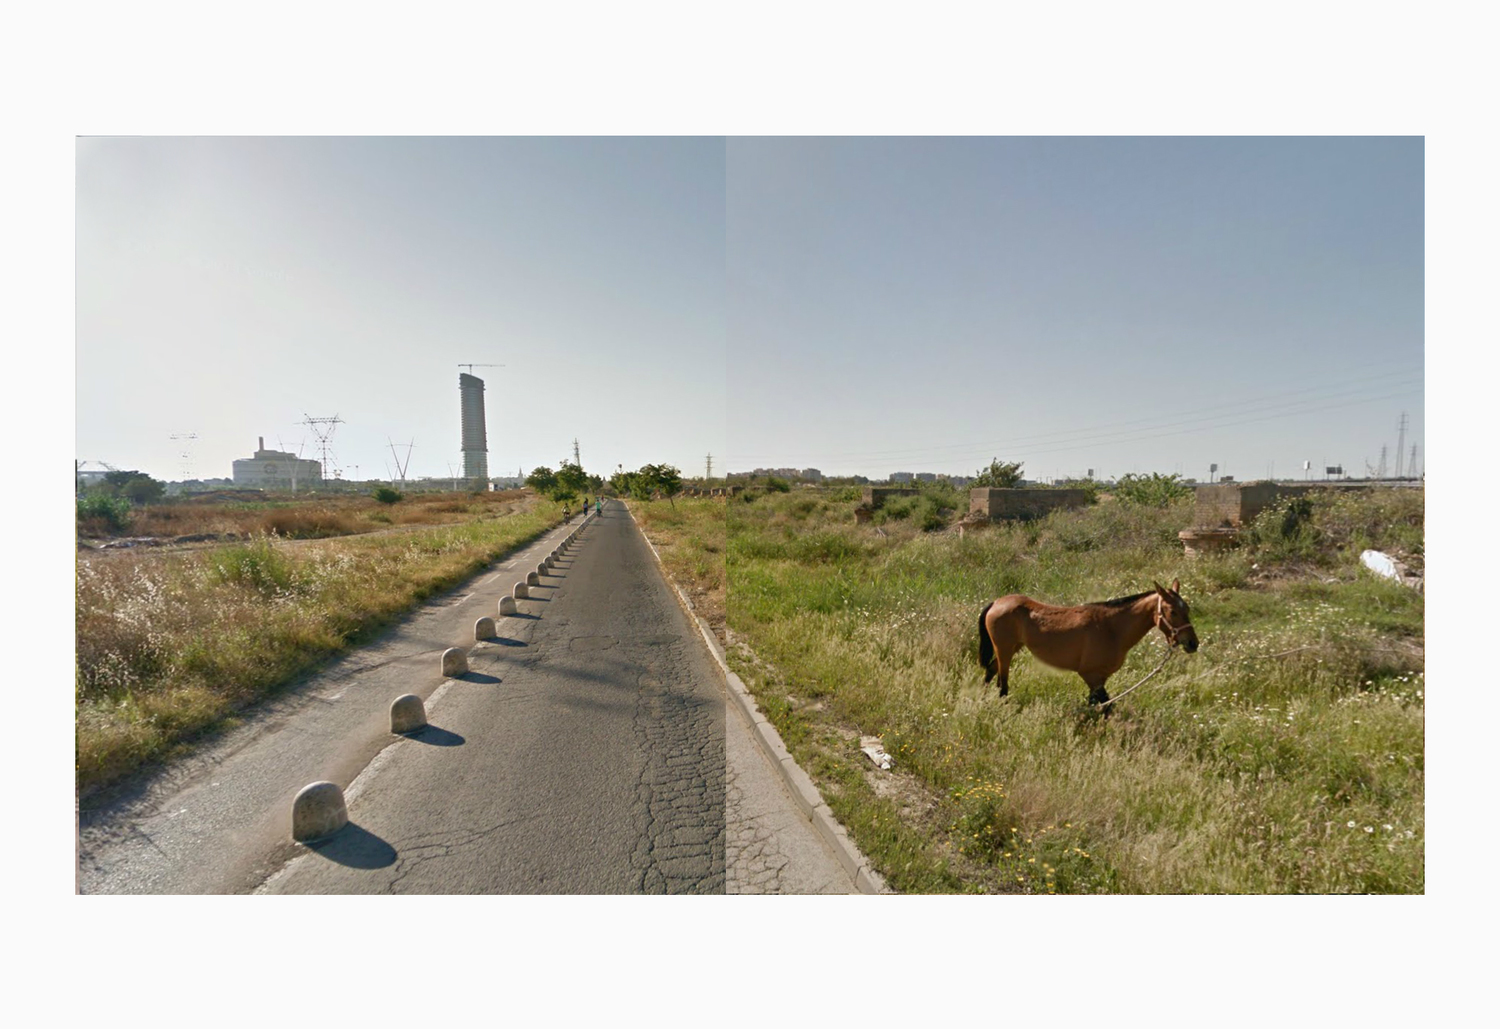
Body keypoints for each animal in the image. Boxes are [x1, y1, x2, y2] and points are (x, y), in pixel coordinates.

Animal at [977, 580, 1198, 708]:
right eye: (1172, 611)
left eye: (1187, 608)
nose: (1193, 643)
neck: (1111, 628)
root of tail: (997, 602)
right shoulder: (1090, 675)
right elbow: (1106, 706)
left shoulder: (1100, 677)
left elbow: (1096, 705)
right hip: (1005, 650)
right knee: (1002, 684)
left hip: (1011, 648)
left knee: (990, 672)